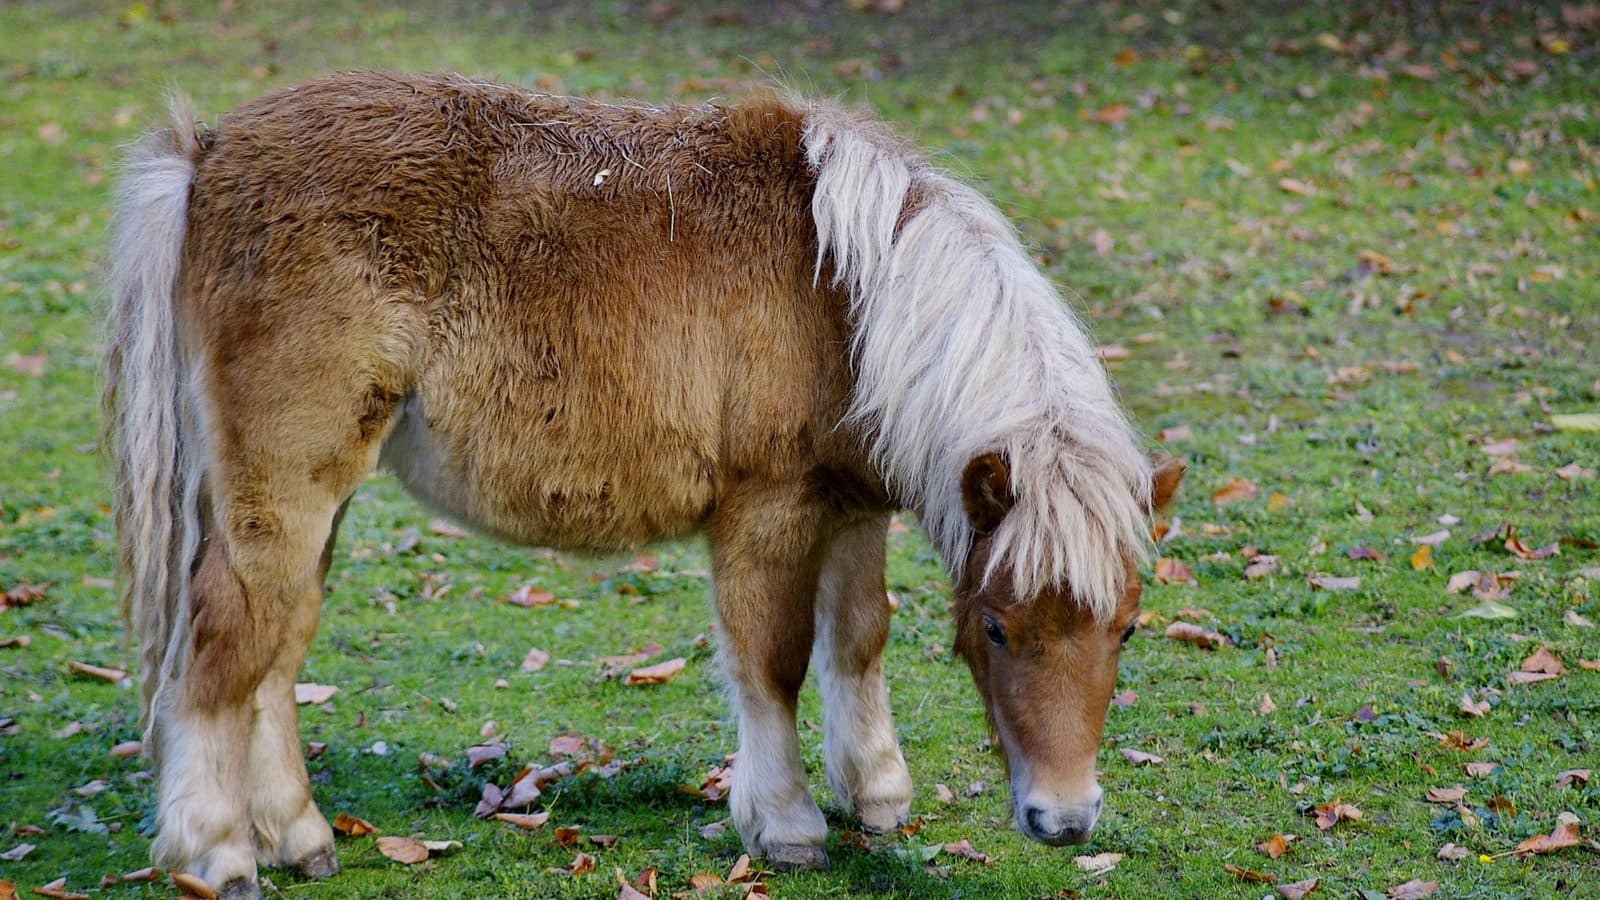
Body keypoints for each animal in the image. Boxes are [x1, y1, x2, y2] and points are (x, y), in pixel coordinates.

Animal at [104, 71, 1184, 898]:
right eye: (998, 628)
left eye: (1127, 628)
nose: (1064, 818)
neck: (848, 294)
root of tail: (208, 153)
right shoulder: (767, 511)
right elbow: (773, 660)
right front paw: (786, 824)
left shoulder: (851, 509)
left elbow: (858, 639)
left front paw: (875, 794)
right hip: (285, 486)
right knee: (226, 641)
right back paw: (218, 854)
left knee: (275, 652)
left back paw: (298, 837)